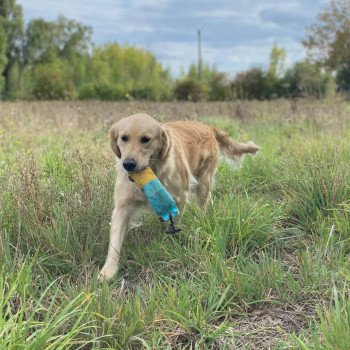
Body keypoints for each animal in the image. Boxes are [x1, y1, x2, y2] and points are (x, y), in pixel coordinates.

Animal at [99, 113, 260, 278]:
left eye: (146, 139)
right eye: (124, 138)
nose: (128, 164)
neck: (154, 172)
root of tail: (209, 127)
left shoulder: (178, 200)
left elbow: (175, 223)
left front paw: (171, 245)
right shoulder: (122, 207)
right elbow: (115, 241)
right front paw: (108, 271)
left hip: (204, 182)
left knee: (204, 205)